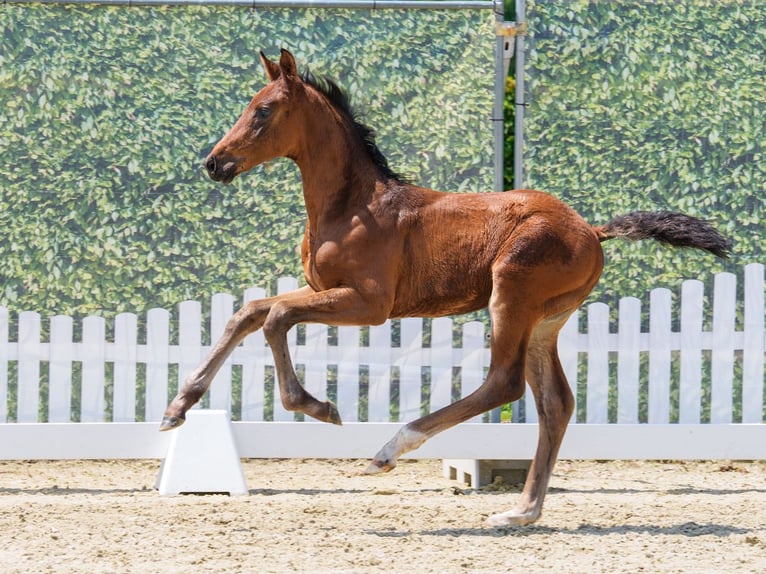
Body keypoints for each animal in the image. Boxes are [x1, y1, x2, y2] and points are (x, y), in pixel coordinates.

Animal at [161, 49, 730, 527]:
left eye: (263, 111)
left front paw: (318, 407)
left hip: (511, 297)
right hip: (546, 319)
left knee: (505, 384)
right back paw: (521, 512)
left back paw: (391, 450)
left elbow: (275, 318)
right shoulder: (323, 290)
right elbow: (250, 312)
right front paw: (176, 409)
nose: (214, 162)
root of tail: (592, 229)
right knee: (555, 403)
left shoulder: (369, 304)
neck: (352, 205)